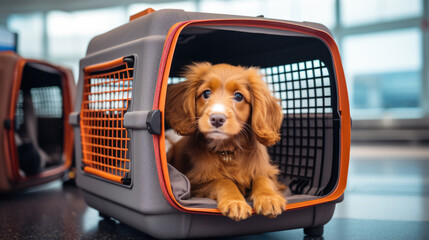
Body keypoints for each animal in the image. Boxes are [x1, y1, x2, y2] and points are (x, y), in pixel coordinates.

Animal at [166, 62, 286, 221]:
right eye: (206, 93)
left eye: (238, 96)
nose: (217, 118)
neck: (227, 150)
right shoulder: (196, 183)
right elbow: (223, 181)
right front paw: (235, 202)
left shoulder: (266, 170)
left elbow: (262, 178)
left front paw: (269, 198)